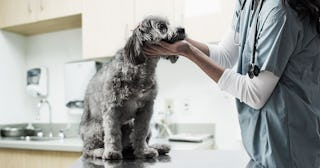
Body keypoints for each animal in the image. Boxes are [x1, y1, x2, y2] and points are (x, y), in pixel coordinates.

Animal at [79, 15, 186, 160]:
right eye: (162, 27)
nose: (182, 29)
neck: (142, 69)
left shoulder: (146, 109)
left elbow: (140, 133)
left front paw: (143, 151)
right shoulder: (111, 109)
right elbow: (112, 133)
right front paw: (112, 152)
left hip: (134, 125)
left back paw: (157, 147)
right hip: (97, 128)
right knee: (87, 149)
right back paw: (100, 151)